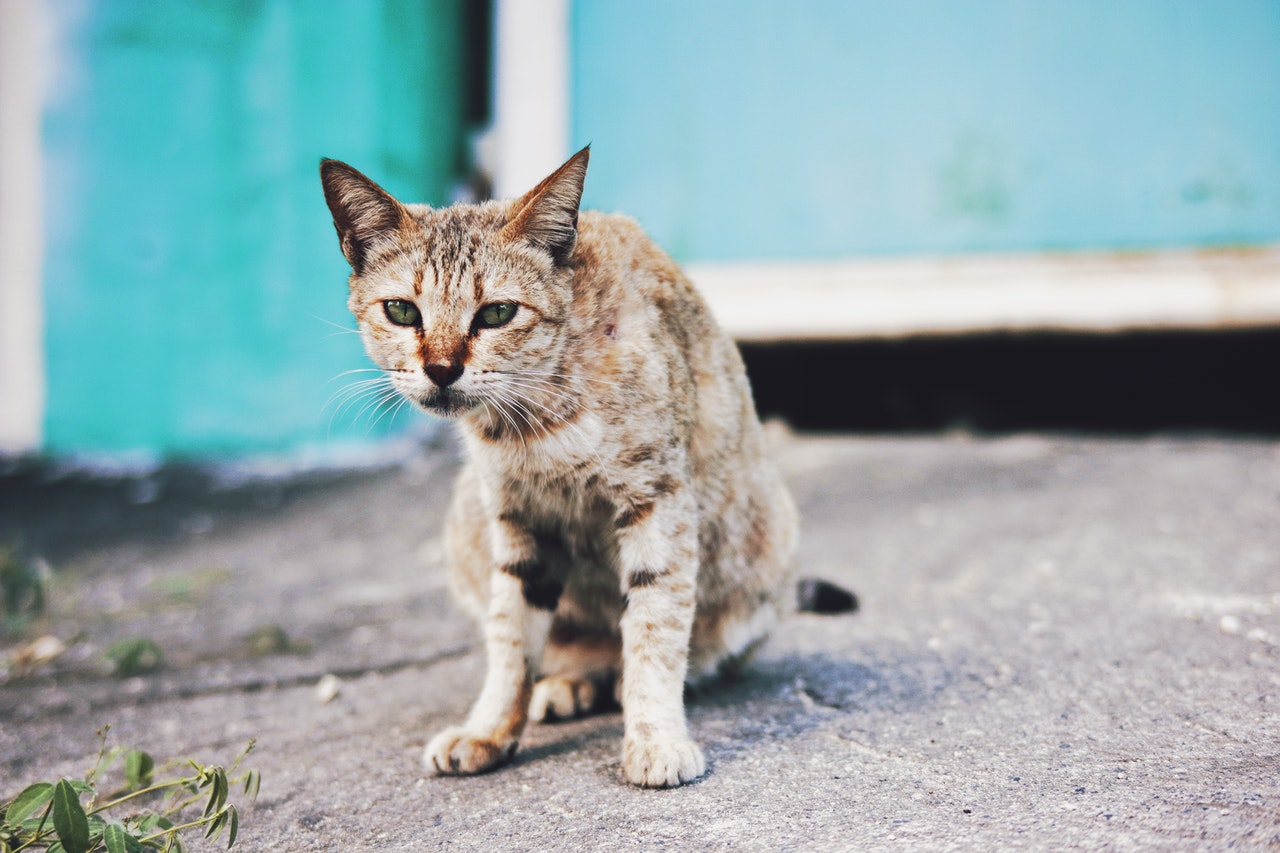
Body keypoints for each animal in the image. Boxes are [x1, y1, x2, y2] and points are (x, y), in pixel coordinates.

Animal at [320, 144, 793, 783]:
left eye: (496, 314)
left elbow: (656, 624)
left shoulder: (658, 500)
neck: (534, 418)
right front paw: (490, 728)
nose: (441, 369)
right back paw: (570, 683)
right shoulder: (519, 521)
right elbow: (511, 638)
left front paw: (655, 736)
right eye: (401, 310)